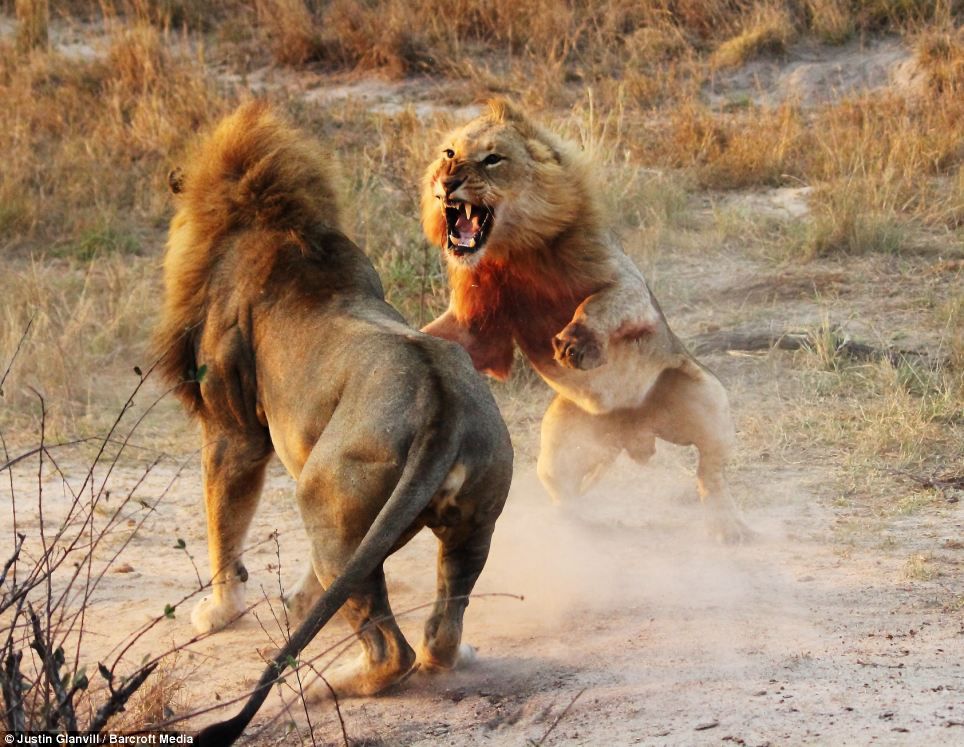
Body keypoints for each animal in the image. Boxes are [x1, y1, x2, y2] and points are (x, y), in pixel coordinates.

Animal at [153, 102, 512, 744]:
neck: (269, 223)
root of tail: (441, 406)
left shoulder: (231, 430)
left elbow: (223, 520)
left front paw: (218, 612)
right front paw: (297, 602)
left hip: (325, 501)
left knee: (392, 652)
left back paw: (323, 686)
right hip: (474, 520)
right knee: (440, 634)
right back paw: (452, 654)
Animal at [418, 99, 748, 544]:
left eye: (492, 159)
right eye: (449, 153)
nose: (447, 180)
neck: (513, 252)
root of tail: (634, 435)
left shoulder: (627, 283)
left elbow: (597, 303)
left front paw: (575, 344)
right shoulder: (478, 324)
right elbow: (434, 334)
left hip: (706, 396)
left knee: (709, 473)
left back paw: (727, 525)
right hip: (558, 445)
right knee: (568, 496)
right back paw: (575, 530)